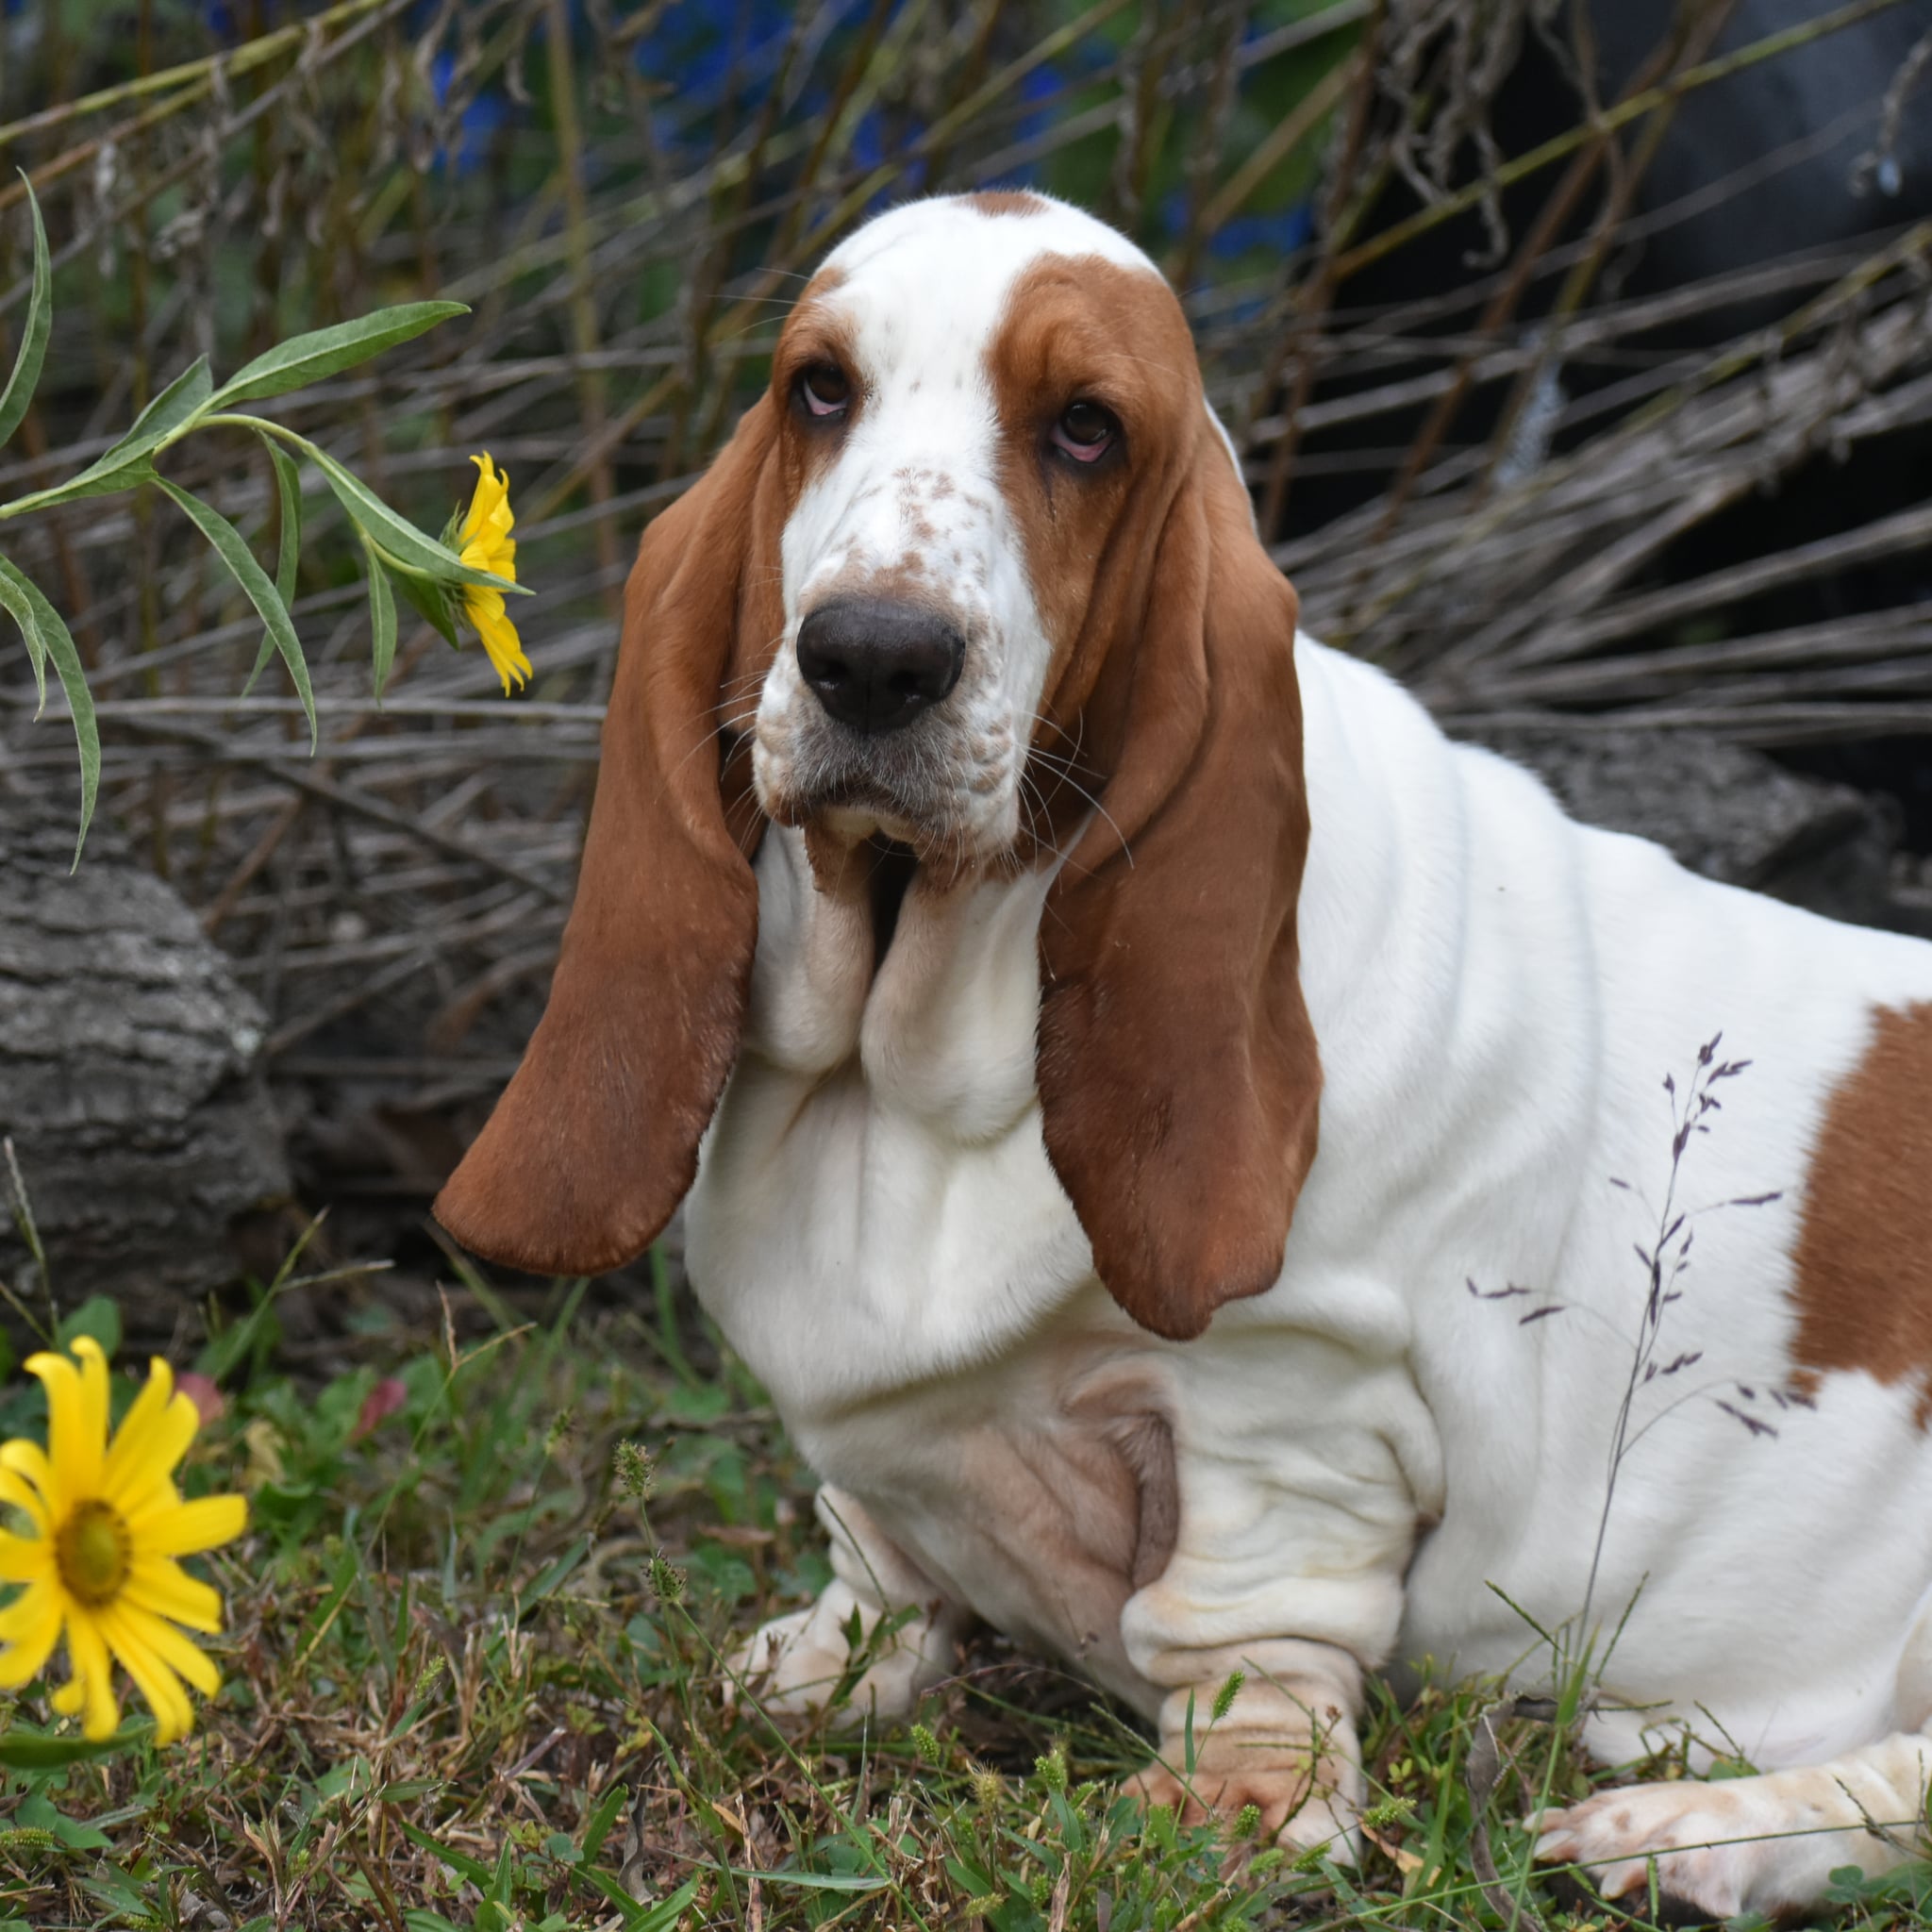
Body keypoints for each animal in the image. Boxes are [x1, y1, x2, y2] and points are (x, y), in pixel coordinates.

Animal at [430, 184, 1932, 1916]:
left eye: (1086, 429)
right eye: (817, 389)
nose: (871, 658)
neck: (915, 1056)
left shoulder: (1298, 1416)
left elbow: (1245, 1621)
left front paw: (1234, 1813)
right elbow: (875, 1550)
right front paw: (829, 1665)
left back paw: (1681, 1832)